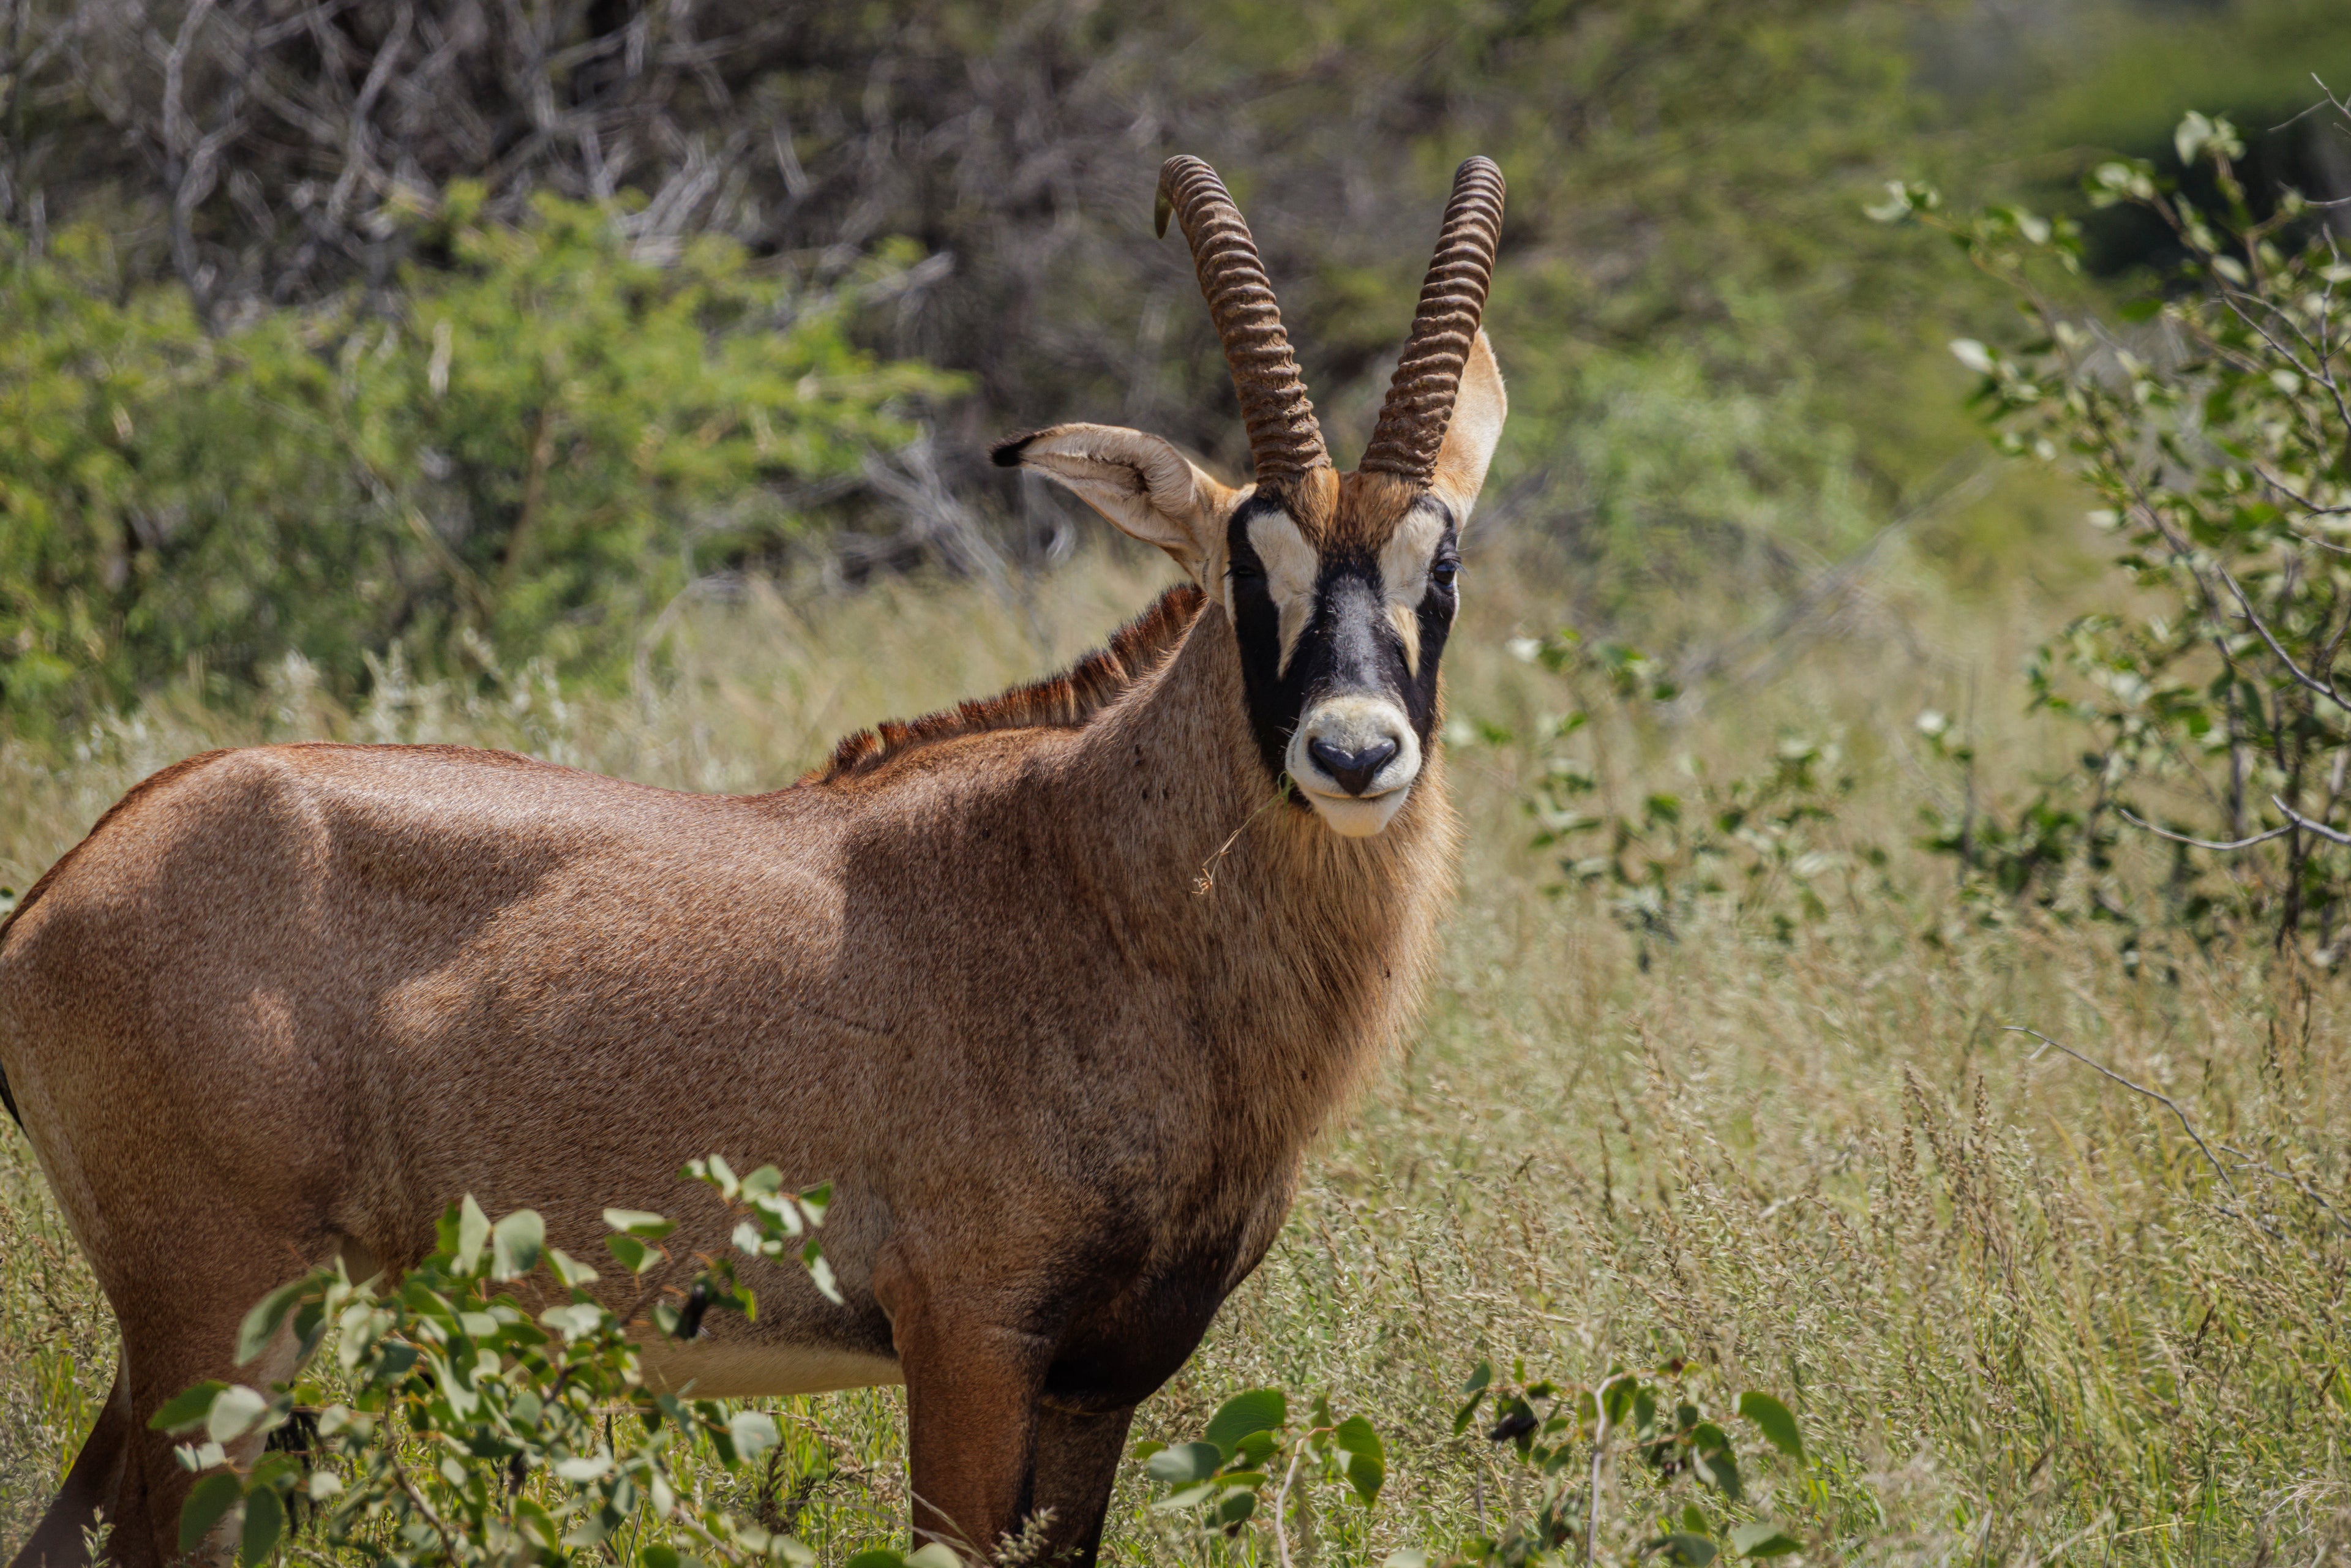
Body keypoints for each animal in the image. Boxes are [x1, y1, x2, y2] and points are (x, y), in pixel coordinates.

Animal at [0, 154, 1505, 1568]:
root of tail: (62, 887)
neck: (1095, 874)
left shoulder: (1102, 1381)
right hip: (217, 1318)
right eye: (1250, 565)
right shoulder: (968, 1338)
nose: (1353, 751)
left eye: (1439, 567)